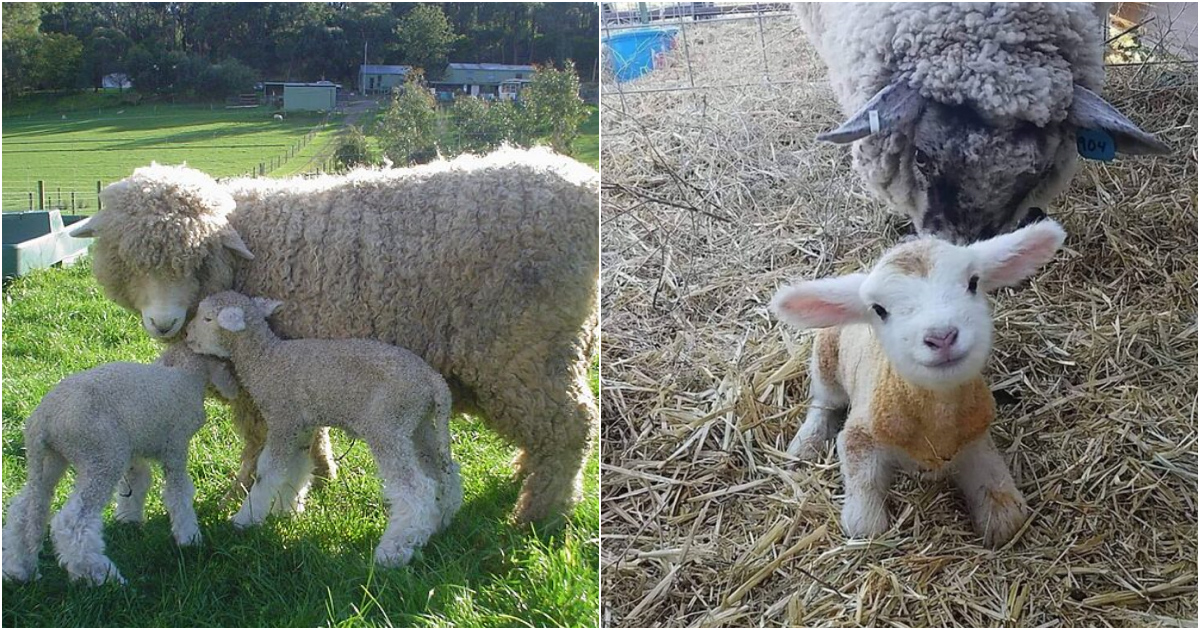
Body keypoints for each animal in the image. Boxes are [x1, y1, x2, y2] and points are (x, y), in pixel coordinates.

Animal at [1, 343, 237, 585]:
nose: (236, 388)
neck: (186, 374)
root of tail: (43, 420)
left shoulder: (134, 448)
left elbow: (138, 482)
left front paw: (128, 519)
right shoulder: (175, 444)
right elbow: (178, 493)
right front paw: (189, 538)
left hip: (49, 460)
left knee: (25, 509)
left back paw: (17, 569)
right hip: (102, 456)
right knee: (73, 521)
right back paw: (101, 575)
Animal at [71, 147, 600, 520]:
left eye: (197, 259)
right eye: (125, 259)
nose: (163, 322)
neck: (246, 254)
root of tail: (582, 183)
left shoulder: (260, 381)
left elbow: (258, 441)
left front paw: (242, 492)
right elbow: (310, 434)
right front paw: (321, 475)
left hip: (523, 348)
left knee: (570, 425)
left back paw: (539, 513)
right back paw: (526, 478)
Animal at [187, 290, 463, 564]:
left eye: (208, 319)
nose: (188, 337)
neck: (266, 360)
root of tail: (434, 381)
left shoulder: (282, 419)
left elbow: (269, 471)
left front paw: (245, 519)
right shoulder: (300, 428)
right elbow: (296, 469)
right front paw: (285, 510)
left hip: (388, 424)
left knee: (417, 488)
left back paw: (393, 551)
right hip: (419, 425)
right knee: (445, 475)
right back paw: (437, 524)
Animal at [768, 218, 1070, 542]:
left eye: (973, 282)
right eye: (879, 309)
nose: (942, 336)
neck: (936, 416)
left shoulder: (975, 437)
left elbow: (1006, 511)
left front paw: (999, 515)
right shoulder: (860, 435)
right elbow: (865, 522)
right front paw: (865, 520)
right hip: (825, 358)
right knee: (824, 402)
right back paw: (805, 443)